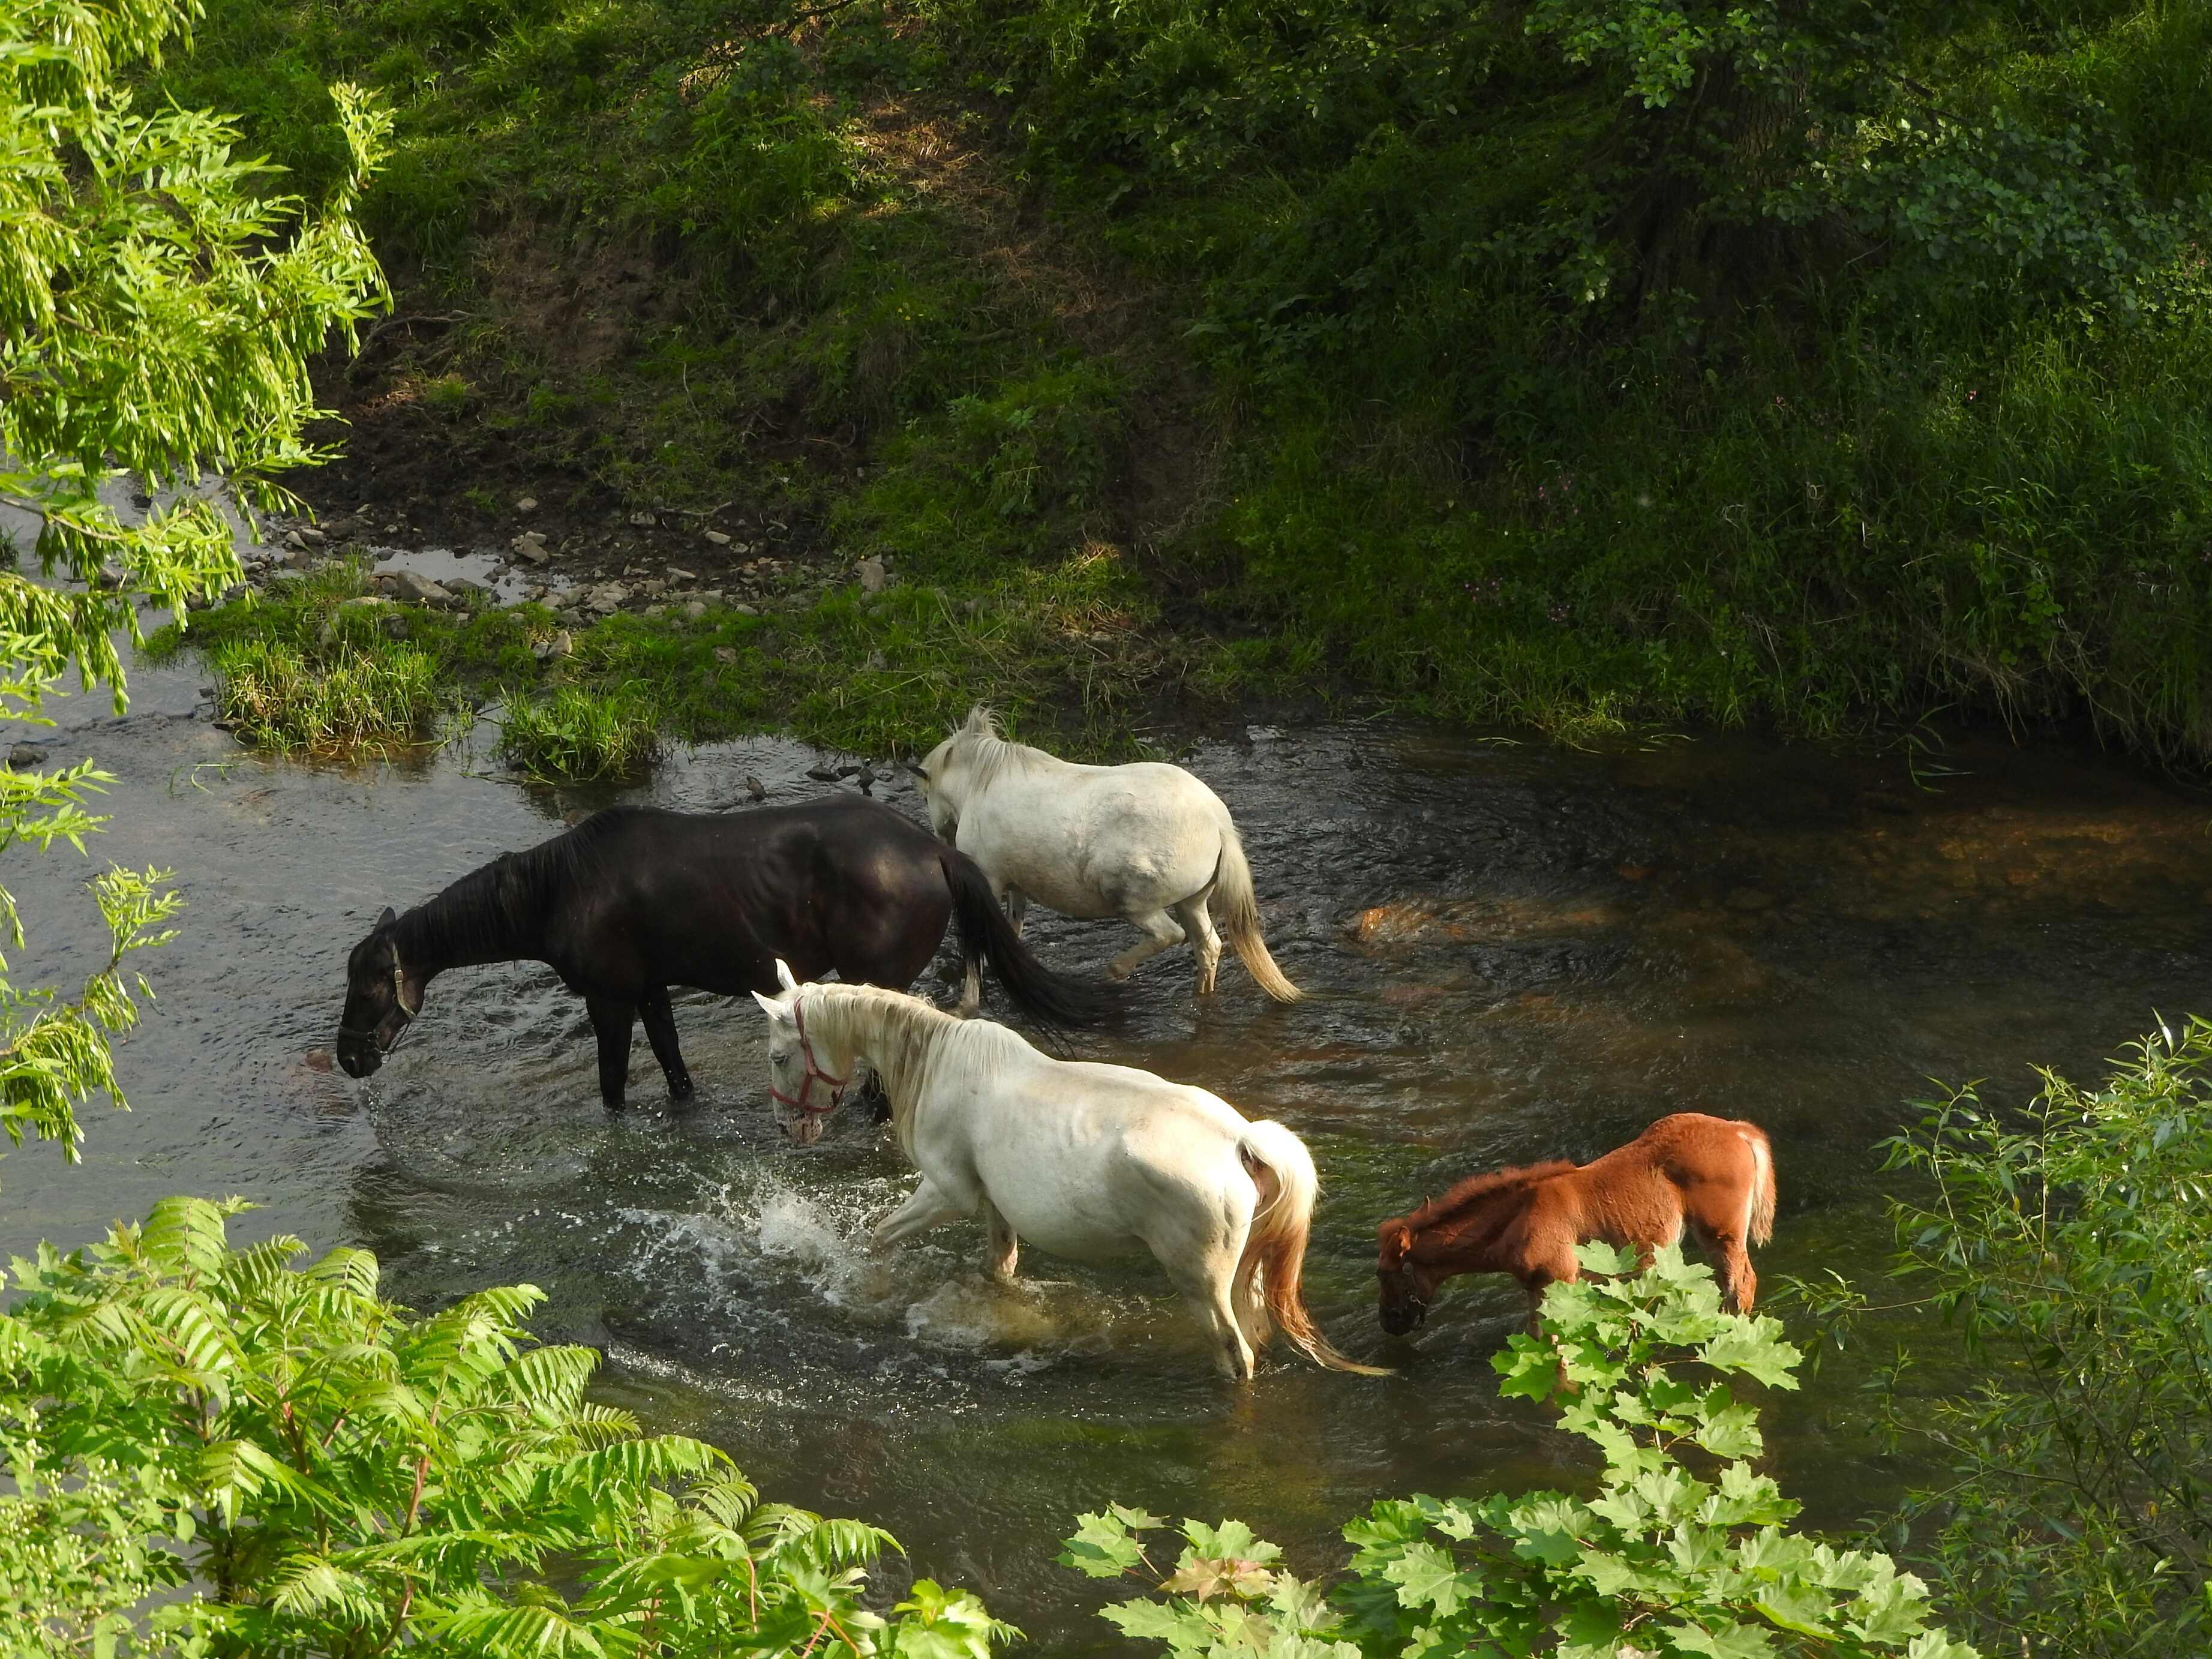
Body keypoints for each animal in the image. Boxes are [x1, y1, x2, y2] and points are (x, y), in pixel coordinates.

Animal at [334, 800, 1115, 1110]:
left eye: (369, 986)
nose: (349, 1057)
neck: (561, 888)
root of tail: (935, 851)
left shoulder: (608, 1000)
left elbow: (612, 1086)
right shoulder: (649, 992)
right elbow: (675, 1069)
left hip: (880, 980)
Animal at [761, 960, 1380, 1389]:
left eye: (777, 1056)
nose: (791, 1129)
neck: (941, 1062)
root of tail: (1239, 1140)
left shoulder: (947, 1194)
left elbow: (879, 1237)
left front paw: (872, 1289)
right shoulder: (993, 1207)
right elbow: (998, 1267)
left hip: (1202, 1283)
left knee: (1236, 1353)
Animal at [911, 703, 1300, 1009]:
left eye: (927, 795)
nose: (940, 838)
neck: (982, 784)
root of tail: (1217, 822)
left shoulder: (988, 882)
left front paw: (967, 1005)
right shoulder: (1015, 887)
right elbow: (1012, 927)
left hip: (1134, 903)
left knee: (1169, 936)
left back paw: (1116, 972)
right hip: (1192, 902)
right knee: (1208, 947)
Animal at [1362, 1119, 1778, 1336]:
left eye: (1384, 1273)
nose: (1388, 1322)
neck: (1518, 1217)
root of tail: (1738, 1130)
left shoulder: (1556, 1282)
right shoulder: (1536, 1290)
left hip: (1721, 1235)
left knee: (1741, 1285)